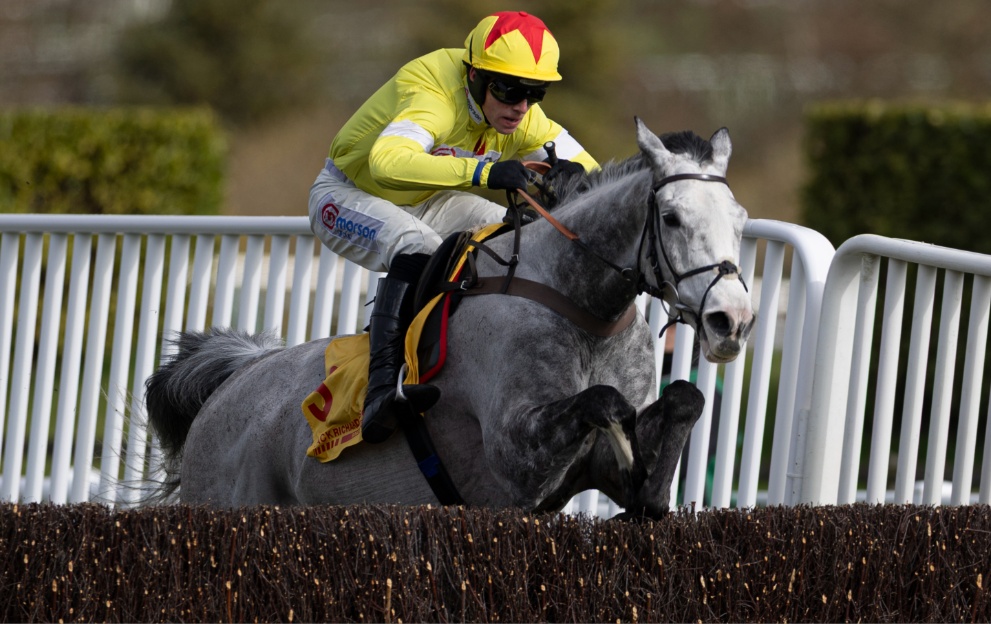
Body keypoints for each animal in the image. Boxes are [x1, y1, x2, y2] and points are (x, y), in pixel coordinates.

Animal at [145, 118, 752, 516]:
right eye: (671, 217)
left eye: (741, 219)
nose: (733, 320)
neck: (579, 307)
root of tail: (236, 376)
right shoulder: (516, 457)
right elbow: (604, 401)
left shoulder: (587, 464)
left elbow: (684, 399)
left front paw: (646, 483)